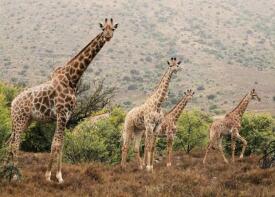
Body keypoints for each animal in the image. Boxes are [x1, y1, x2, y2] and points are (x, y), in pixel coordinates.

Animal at [5, 18, 117, 183]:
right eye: (103, 29)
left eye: (113, 29)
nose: (108, 36)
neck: (72, 79)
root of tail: (12, 103)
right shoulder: (61, 113)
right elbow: (56, 144)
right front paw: (49, 176)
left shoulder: (68, 115)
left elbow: (61, 144)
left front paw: (59, 176)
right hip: (20, 119)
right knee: (15, 144)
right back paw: (14, 175)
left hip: (25, 120)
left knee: (10, 142)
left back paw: (6, 172)